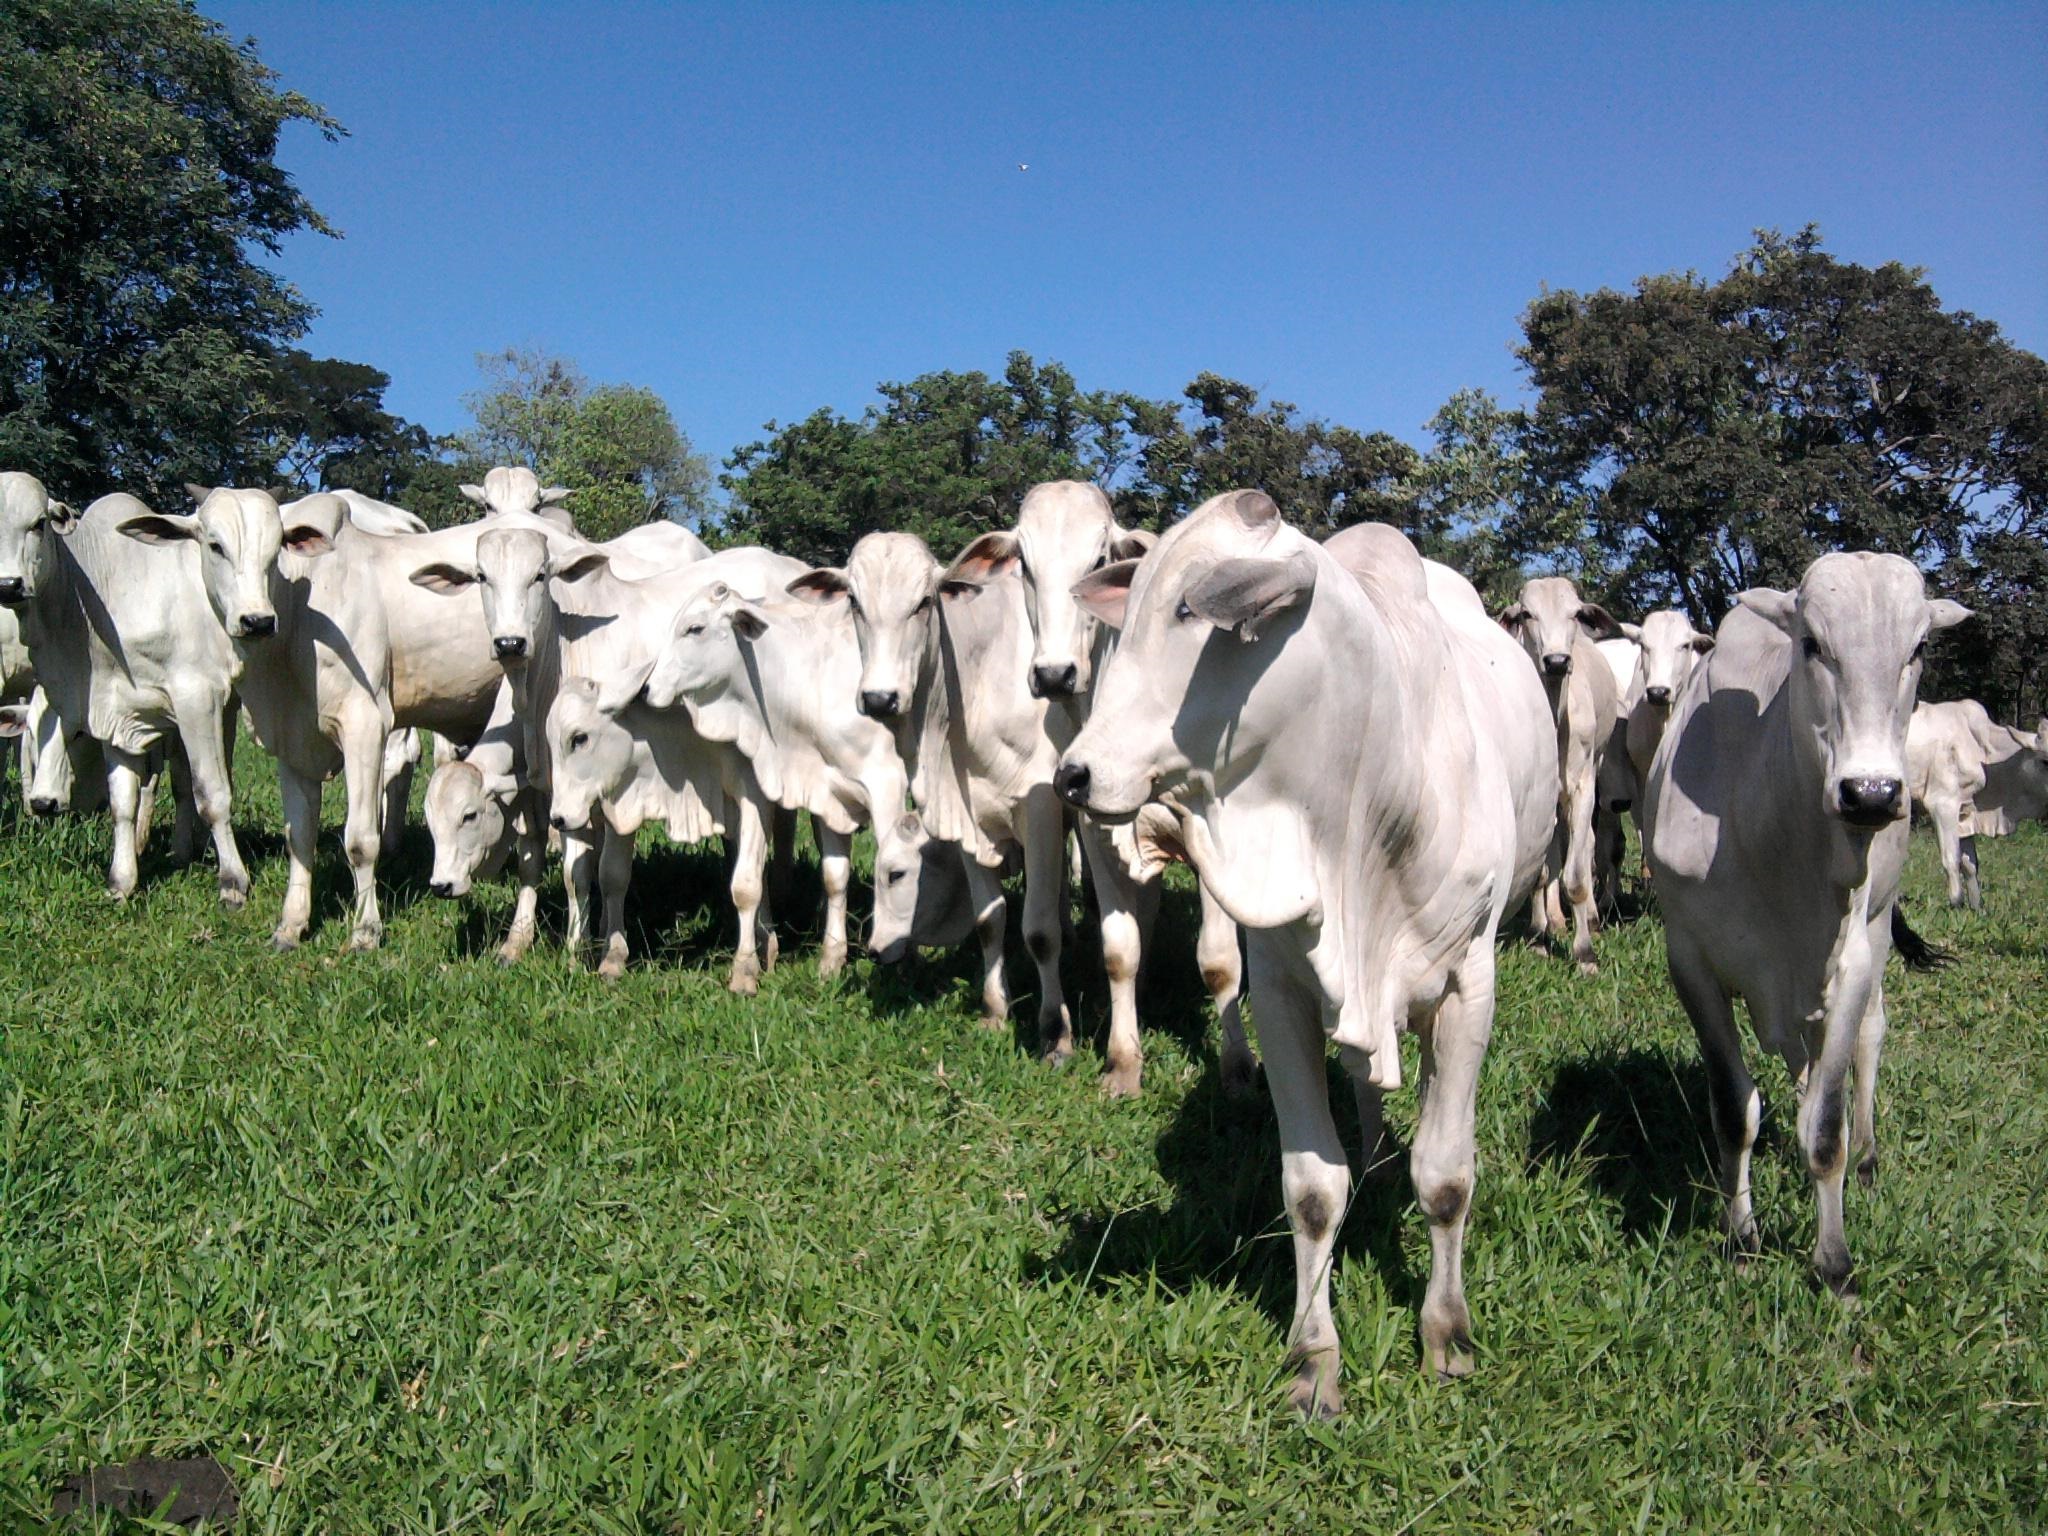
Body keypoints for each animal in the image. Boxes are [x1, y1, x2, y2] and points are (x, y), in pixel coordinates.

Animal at [0, 479, 247, 913]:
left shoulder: (195, 702)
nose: (9, 585)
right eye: (29, 736)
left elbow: (200, 788)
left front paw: (230, 880)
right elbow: (124, 800)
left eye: (38, 523)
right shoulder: (116, 714)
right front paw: (124, 873)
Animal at [1056, 493, 1548, 1417]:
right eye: (1129, 614)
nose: (1075, 774)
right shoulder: (1283, 992)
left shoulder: (1470, 985)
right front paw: (1313, 1359)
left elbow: (1447, 1177)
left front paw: (1448, 1335)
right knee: (1361, 1079)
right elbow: (1313, 1190)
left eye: (1188, 611)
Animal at [1499, 577, 1622, 974]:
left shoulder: (1583, 786)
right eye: (1527, 613)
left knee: (1586, 846)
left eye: (1576, 613)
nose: (1555, 661)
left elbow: (1578, 875)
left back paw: (1592, 918)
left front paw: (1585, 954)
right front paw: (1539, 937)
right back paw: (1553, 919)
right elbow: (1540, 871)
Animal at [1646, 552, 1966, 1302]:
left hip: (1875, 935)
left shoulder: (1850, 962)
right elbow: (1735, 1109)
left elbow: (1825, 1128)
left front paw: (1834, 1263)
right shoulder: (1690, 960)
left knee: (1867, 1044)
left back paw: (1869, 1158)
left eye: (1919, 648)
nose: (1871, 794)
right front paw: (1741, 1237)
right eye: (1812, 643)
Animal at [1900, 700, 2048, 909]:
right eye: (2045, 761)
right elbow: (1951, 859)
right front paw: (1956, 904)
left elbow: (1970, 864)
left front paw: (1976, 907)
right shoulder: (1942, 805)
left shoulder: (1965, 813)